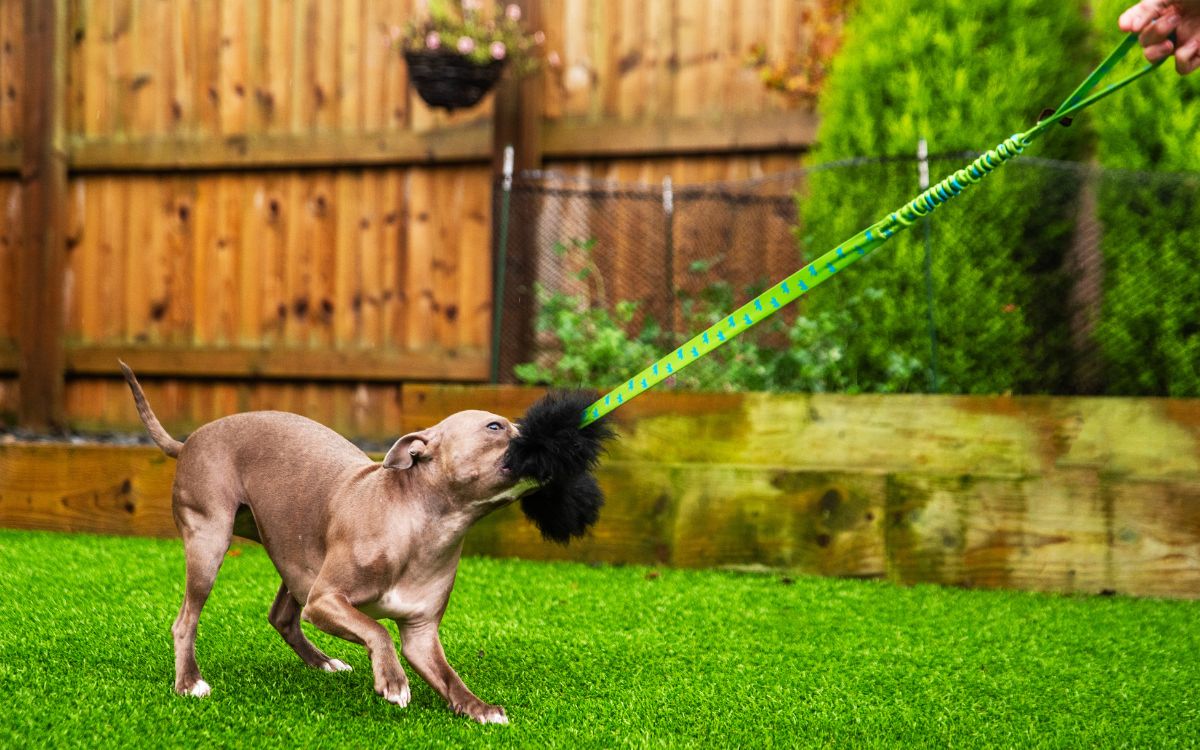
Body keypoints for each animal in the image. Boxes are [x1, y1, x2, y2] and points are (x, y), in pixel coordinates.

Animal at [120, 360, 535, 724]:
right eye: (495, 426)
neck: (423, 526)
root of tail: (188, 440)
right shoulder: (325, 600)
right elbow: (377, 630)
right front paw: (393, 680)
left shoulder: (420, 634)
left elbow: (449, 677)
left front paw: (477, 707)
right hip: (209, 544)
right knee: (185, 621)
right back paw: (189, 681)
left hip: (293, 555)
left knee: (281, 616)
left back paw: (322, 661)